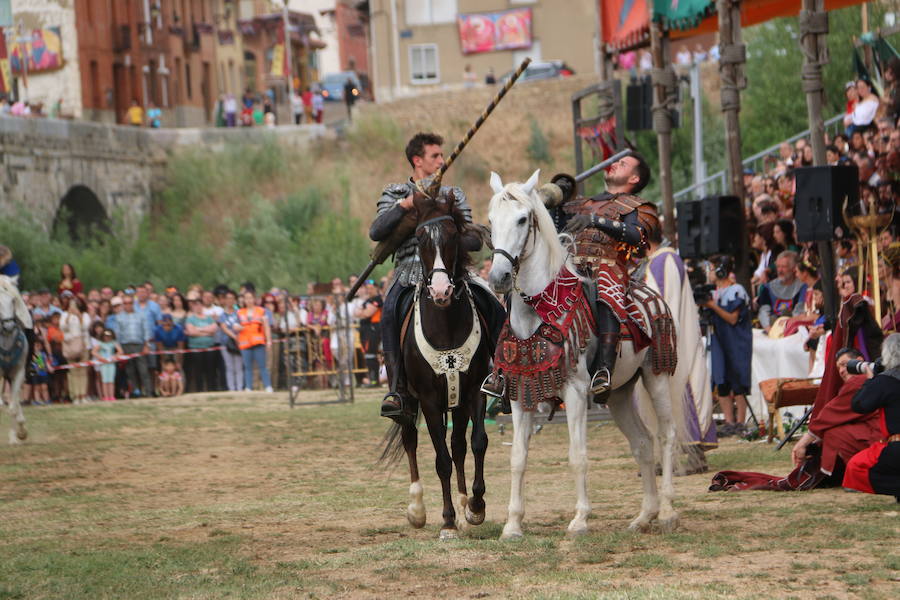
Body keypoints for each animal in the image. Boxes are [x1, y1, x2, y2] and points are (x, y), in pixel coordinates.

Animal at [380, 195, 492, 540]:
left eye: (453, 235)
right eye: (420, 238)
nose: (442, 291)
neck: (446, 325)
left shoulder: (474, 391)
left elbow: (476, 443)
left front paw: (475, 508)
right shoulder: (428, 401)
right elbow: (440, 459)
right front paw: (447, 522)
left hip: (456, 403)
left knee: (458, 446)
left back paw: (464, 505)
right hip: (408, 400)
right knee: (410, 440)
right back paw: (417, 510)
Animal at [488, 170, 680, 540]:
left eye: (522, 219)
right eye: (490, 221)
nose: (499, 277)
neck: (540, 310)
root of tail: (652, 297)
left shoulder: (575, 392)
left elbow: (577, 455)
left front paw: (579, 519)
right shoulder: (520, 395)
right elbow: (518, 458)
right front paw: (512, 525)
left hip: (657, 377)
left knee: (666, 436)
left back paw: (665, 512)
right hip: (618, 393)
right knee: (642, 443)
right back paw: (643, 516)